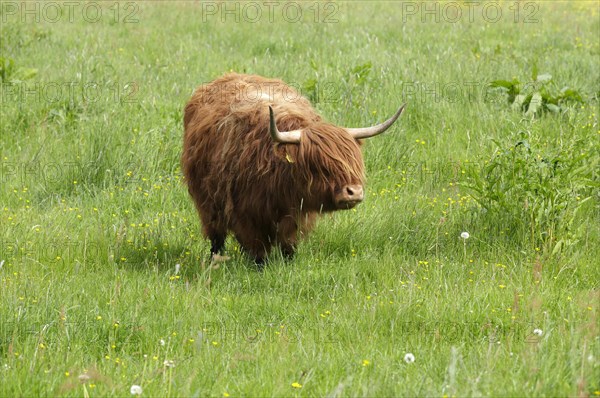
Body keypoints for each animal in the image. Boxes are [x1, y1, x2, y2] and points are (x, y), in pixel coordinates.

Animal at [180, 74, 406, 264]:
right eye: (319, 165)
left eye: (354, 161)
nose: (354, 192)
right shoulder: (246, 215)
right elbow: (257, 250)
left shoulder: (297, 216)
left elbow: (289, 245)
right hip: (208, 203)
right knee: (216, 236)